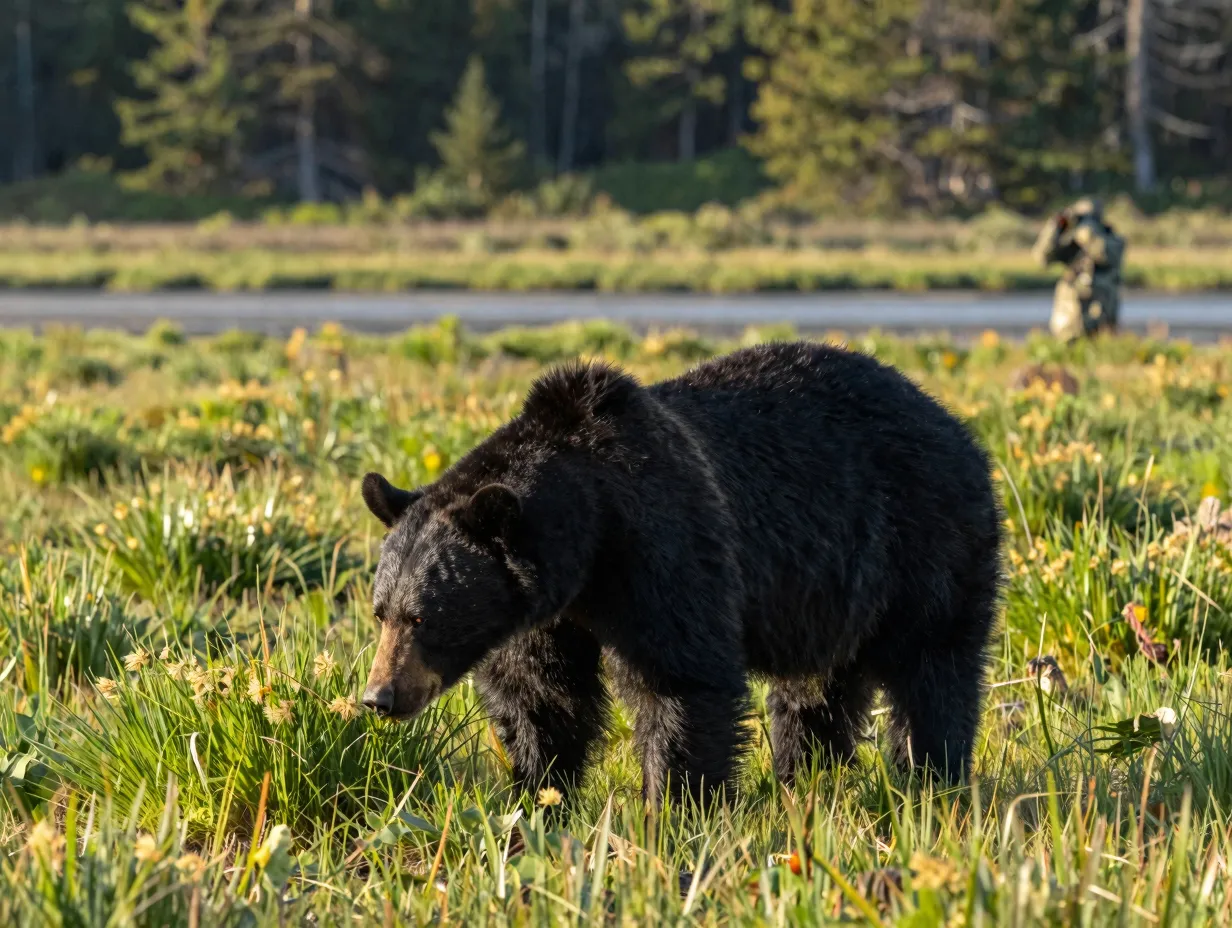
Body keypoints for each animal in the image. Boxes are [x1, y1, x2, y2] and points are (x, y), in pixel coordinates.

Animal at [360, 341, 1002, 805]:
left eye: (423, 616)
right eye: (380, 612)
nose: (379, 697)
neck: (589, 542)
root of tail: (959, 428)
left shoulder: (662, 546)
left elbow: (681, 679)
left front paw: (673, 806)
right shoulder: (544, 609)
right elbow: (541, 697)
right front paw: (537, 794)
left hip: (926, 540)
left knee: (934, 667)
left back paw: (932, 775)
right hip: (831, 592)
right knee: (817, 690)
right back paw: (803, 776)